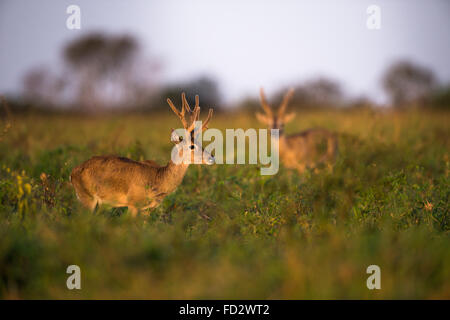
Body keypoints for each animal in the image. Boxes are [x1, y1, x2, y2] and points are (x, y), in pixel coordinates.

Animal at [71, 93, 215, 218]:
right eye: (192, 146)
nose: (211, 158)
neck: (158, 180)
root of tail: (73, 173)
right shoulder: (133, 203)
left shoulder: (147, 210)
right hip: (87, 198)